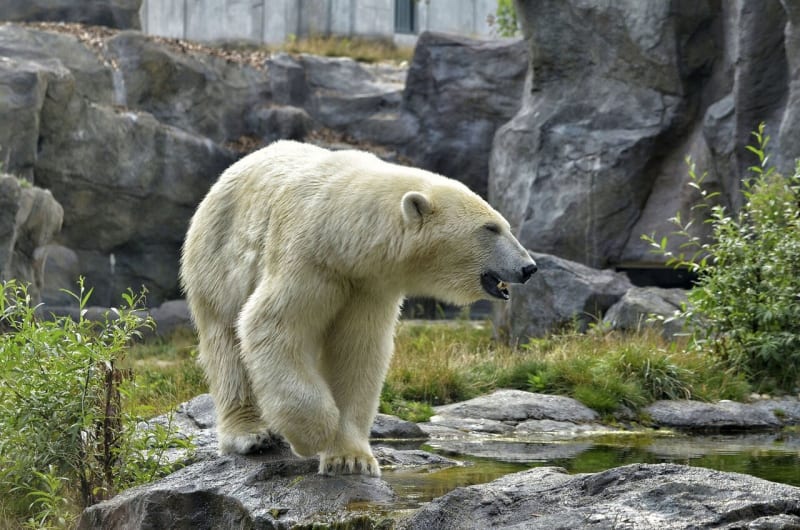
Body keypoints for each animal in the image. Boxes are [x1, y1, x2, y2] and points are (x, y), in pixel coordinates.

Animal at [180, 141, 536, 477]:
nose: (529, 267)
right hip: (217, 258)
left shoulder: (368, 286)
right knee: (226, 344)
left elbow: (357, 351)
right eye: (491, 228)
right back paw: (250, 435)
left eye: (504, 225)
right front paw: (313, 434)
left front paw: (350, 459)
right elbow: (272, 326)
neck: (343, 233)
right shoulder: (308, 260)